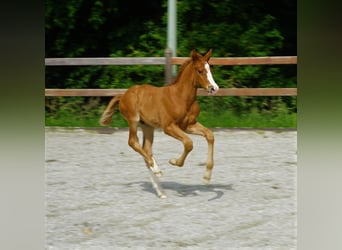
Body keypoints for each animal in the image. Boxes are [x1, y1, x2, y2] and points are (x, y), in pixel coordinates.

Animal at [100, 48, 220, 197]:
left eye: (210, 69)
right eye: (200, 71)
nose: (214, 88)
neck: (181, 97)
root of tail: (123, 95)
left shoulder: (188, 125)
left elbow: (210, 135)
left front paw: (207, 176)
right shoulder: (168, 127)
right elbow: (188, 143)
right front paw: (174, 161)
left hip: (148, 127)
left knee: (146, 150)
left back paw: (160, 190)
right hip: (133, 120)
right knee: (133, 142)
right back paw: (157, 171)